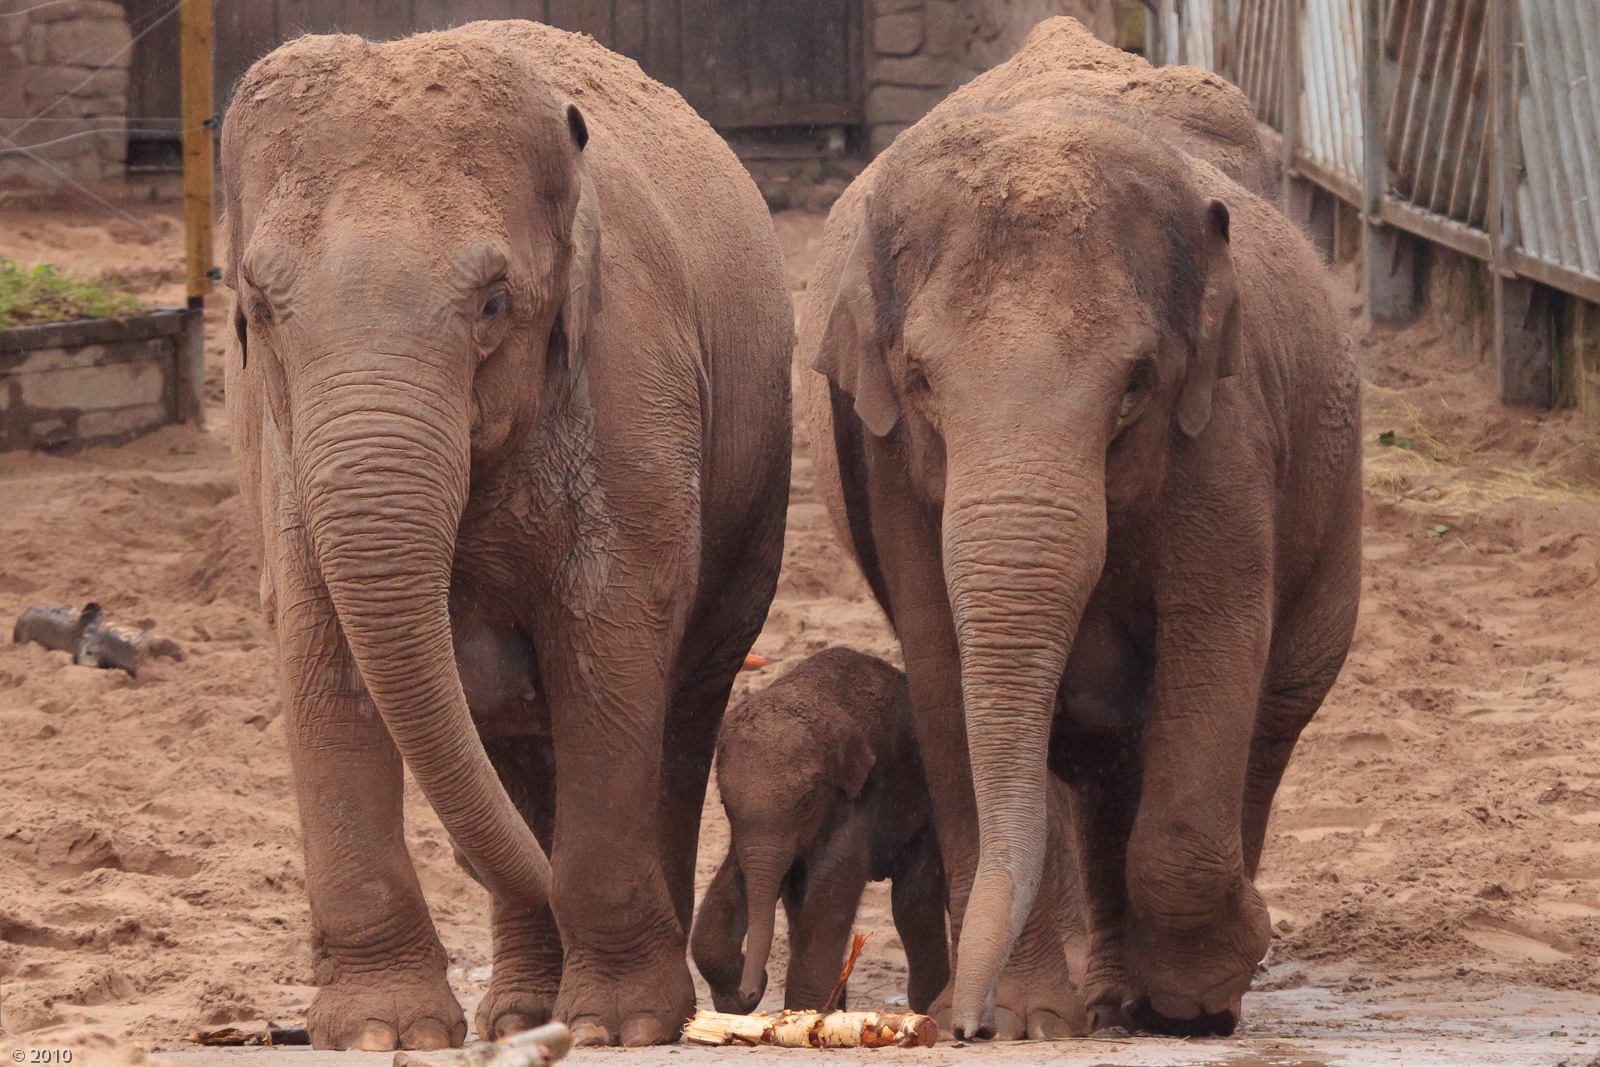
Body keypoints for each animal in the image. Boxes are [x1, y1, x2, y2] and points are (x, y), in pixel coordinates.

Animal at [219, 22, 792, 1051]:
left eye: (493, 302)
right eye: (261, 309)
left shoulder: (632, 384)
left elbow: (613, 638)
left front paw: (618, 1027)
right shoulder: (273, 443)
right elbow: (320, 645)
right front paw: (383, 1036)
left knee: (680, 712)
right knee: (515, 746)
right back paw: (526, 1007)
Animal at [689, 648, 948, 1015]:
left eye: (806, 801)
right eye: (724, 803)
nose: (751, 990)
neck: (808, 689)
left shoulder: (860, 798)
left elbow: (829, 897)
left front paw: (801, 1016)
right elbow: (734, 879)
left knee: (913, 903)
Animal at [797, 16, 1361, 1043]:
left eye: (1135, 383)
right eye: (922, 380)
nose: (961, 1024)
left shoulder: (1224, 427)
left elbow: (1217, 639)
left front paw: (1199, 995)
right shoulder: (887, 458)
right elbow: (943, 661)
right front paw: (1028, 1022)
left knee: (1274, 708)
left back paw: (1182, 987)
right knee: (1100, 752)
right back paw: (1104, 995)